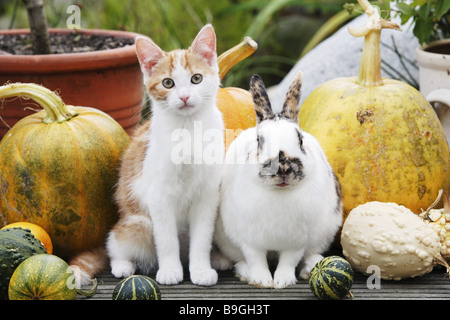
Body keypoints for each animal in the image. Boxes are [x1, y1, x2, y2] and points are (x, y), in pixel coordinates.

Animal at [71, 24, 225, 284]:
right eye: (168, 83)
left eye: (196, 79)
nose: (184, 97)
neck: (187, 129)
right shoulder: (158, 194)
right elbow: (166, 238)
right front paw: (170, 270)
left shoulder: (207, 194)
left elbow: (202, 236)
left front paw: (201, 269)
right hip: (138, 222)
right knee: (115, 244)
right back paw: (123, 265)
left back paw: (216, 259)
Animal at [214, 71, 342, 288]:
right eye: (259, 141)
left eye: (300, 140)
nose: (283, 169)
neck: (279, 192)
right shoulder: (250, 240)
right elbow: (256, 259)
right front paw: (262, 280)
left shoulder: (296, 242)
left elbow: (288, 261)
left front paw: (283, 281)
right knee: (239, 259)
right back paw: (243, 271)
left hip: (325, 232)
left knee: (312, 254)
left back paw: (309, 268)